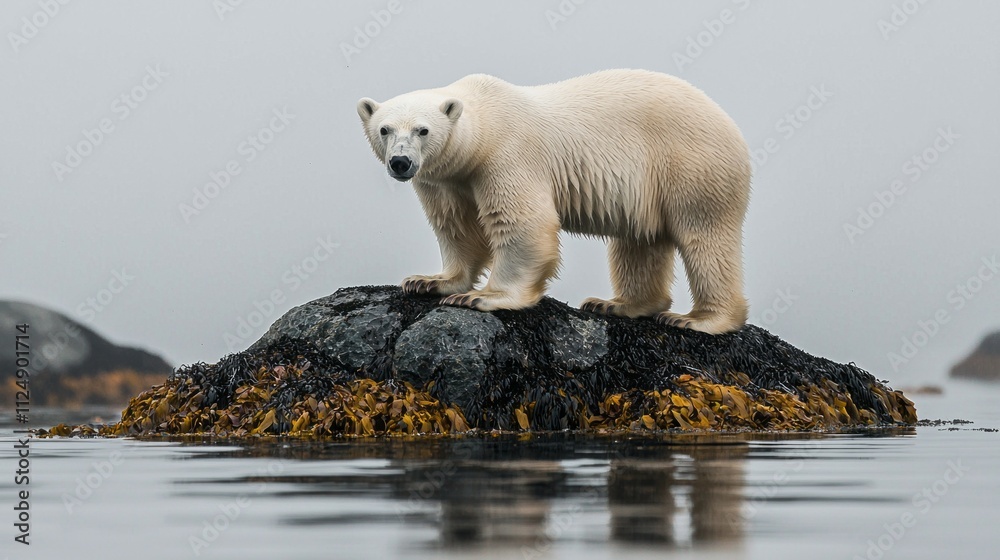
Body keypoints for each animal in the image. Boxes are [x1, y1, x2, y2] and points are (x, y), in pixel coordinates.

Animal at [357, 69, 751, 334]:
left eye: (422, 130)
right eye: (385, 129)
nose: (401, 162)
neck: (484, 127)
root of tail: (729, 123)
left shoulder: (507, 155)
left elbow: (523, 223)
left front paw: (483, 297)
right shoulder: (445, 179)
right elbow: (455, 226)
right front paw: (430, 281)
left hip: (691, 165)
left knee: (704, 237)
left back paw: (698, 319)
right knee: (639, 240)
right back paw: (618, 304)